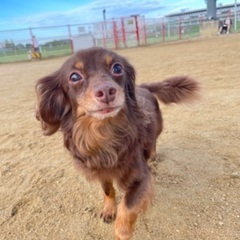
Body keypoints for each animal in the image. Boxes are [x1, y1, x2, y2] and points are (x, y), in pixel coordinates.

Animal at [35, 46, 200, 238]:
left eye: (117, 68)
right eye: (74, 77)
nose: (107, 91)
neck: (104, 133)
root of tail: (143, 87)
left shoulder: (141, 178)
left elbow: (127, 207)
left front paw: (122, 231)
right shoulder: (101, 172)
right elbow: (108, 191)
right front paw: (108, 210)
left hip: (157, 128)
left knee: (153, 141)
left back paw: (152, 155)